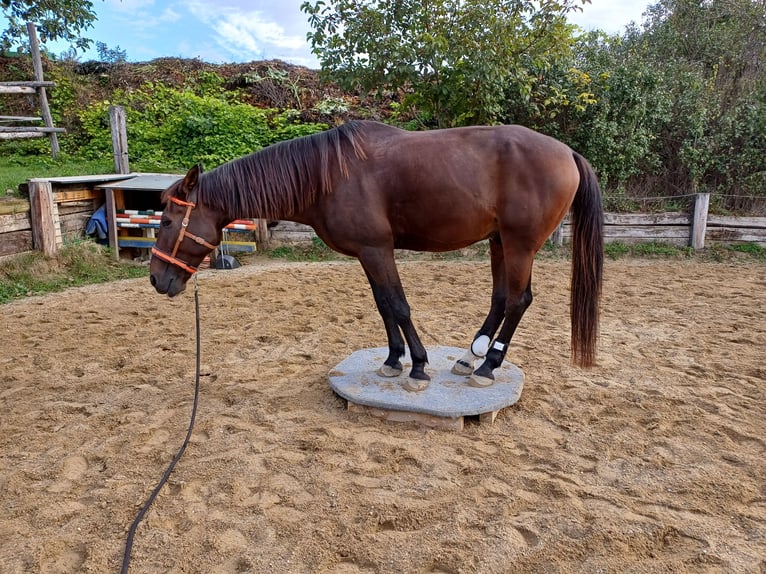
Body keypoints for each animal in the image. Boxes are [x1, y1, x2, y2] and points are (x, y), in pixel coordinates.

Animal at [152, 121, 608, 392]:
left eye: (169, 220)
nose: (157, 279)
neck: (328, 175)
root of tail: (568, 152)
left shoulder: (377, 249)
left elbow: (399, 305)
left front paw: (418, 366)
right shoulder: (366, 254)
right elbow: (384, 305)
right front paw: (393, 360)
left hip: (519, 246)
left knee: (517, 300)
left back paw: (487, 366)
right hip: (501, 243)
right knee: (502, 300)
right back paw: (470, 357)